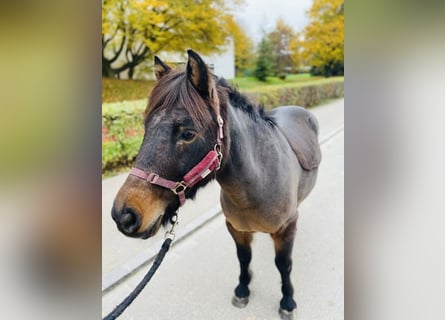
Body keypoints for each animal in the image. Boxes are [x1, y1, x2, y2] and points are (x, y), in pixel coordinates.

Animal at [110, 50, 320, 320]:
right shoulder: (236, 228)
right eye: (145, 126)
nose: (124, 215)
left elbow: (284, 265)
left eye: (188, 134)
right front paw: (243, 289)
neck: (257, 184)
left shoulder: (285, 229)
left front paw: (287, 301)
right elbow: (244, 258)